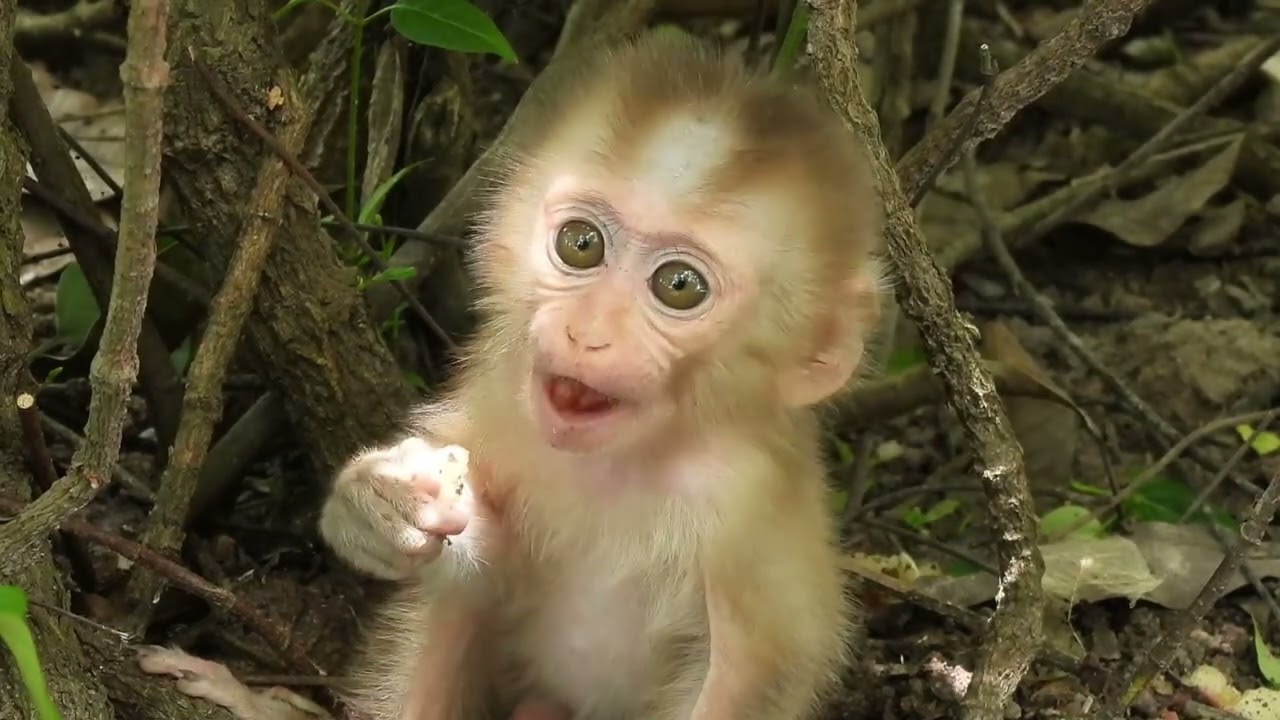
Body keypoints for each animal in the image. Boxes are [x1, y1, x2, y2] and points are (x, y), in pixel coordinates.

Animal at [139, 27, 885, 720]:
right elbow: (472, 572)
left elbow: (750, 676)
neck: (625, 461)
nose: (587, 333)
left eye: (679, 287)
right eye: (581, 244)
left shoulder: (746, 510)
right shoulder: (501, 396)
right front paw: (380, 501)